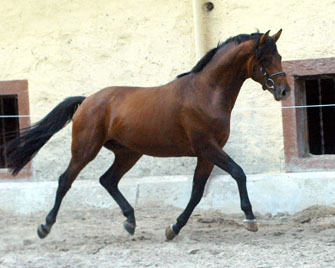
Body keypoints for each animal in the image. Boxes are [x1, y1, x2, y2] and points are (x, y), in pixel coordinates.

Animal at [7, 29, 292, 241]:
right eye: (266, 59)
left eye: (279, 55)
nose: (284, 91)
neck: (206, 92)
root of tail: (87, 100)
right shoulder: (207, 147)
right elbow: (238, 173)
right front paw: (250, 218)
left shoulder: (206, 154)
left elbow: (197, 192)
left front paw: (173, 229)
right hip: (86, 149)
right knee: (66, 180)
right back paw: (45, 226)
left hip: (128, 153)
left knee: (108, 180)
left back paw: (130, 221)